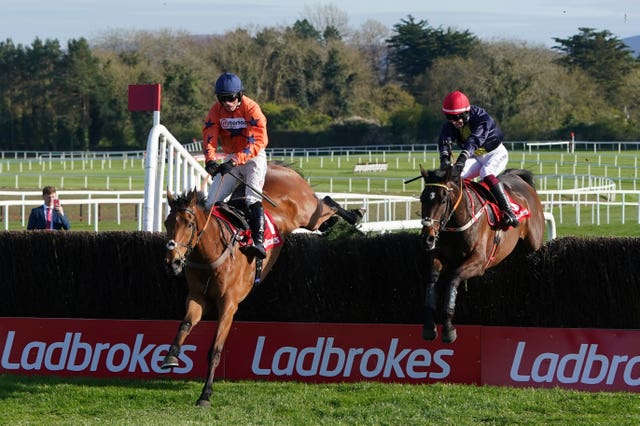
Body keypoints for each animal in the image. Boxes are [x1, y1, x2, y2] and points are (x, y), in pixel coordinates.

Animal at [160, 162, 362, 406]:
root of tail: (278, 167)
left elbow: (216, 349)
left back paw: (355, 215)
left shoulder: (229, 303)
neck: (211, 253)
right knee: (326, 212)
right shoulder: (198, 297)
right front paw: (171, 356)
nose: (172, 262)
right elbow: (185, 325)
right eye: (167, 223)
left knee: (328, 202)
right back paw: (336, 223)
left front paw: (205, 394)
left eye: (189, 224)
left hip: (307, 212)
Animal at [420, 166, 544, 342]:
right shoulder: (440, 257)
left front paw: (448, 328)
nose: (428, 238)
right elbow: (432, 278)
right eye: (422, 198)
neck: (458, 221)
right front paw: (430, 325)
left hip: (534, 242)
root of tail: (517, 178)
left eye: (443, 201)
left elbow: (453, 278)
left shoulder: (479, 262)